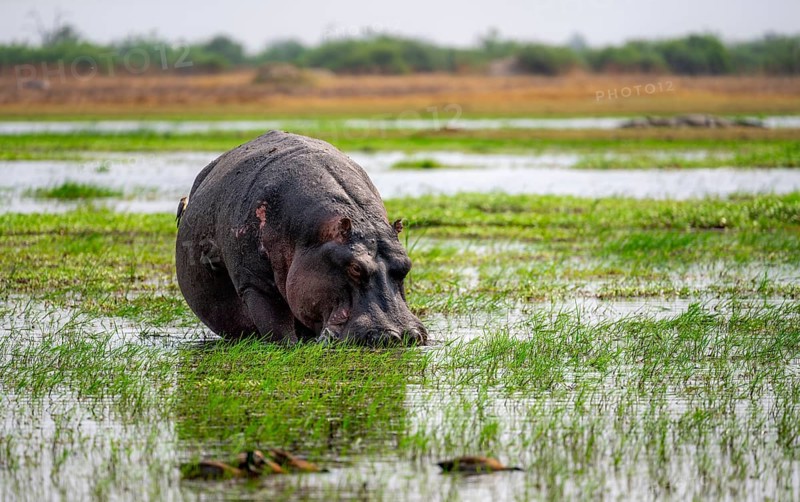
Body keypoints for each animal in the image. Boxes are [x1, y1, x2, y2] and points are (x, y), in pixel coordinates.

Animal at [175, 131, 427, 346]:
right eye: (355, 268)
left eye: (406, 264)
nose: (401, 335)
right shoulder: (254, 283)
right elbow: (276, 327)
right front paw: (290, 346)